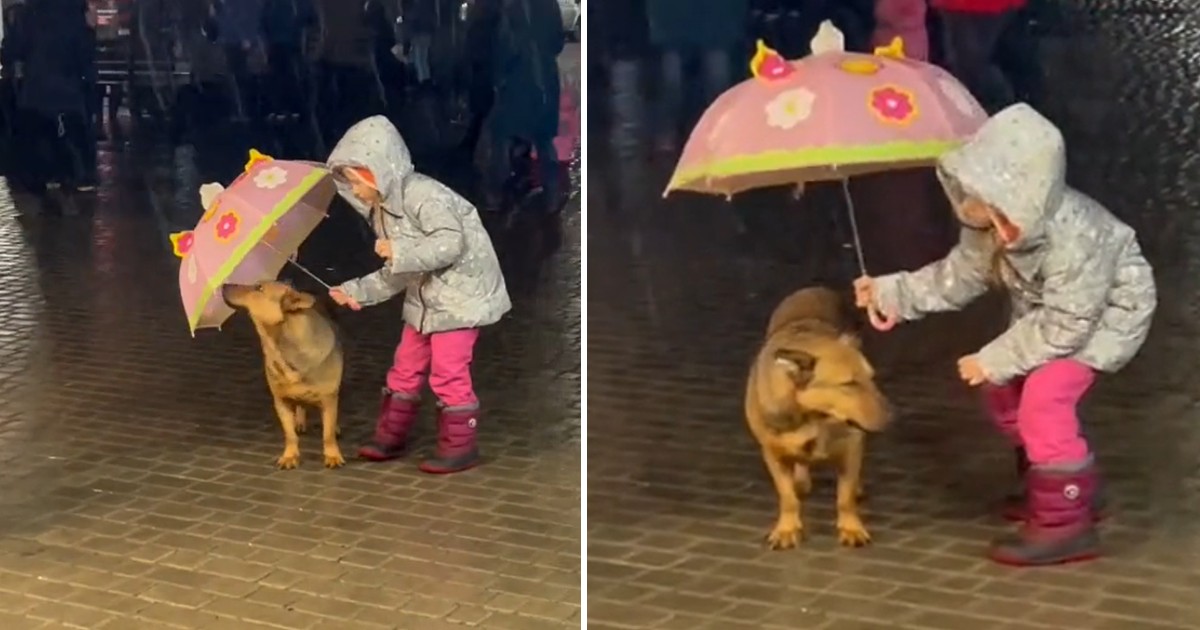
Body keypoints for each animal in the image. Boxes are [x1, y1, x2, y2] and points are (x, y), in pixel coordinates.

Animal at [223, 279, 345, 465]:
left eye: (259, 288)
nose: (223, 285)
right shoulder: (281, 401)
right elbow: (289, 434)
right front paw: (290, 456)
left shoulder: (329, 398)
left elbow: (328, 433)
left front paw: (332, 455)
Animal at [744, 286, 888, 547]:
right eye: (848, 384)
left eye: (872, 378)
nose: (893, 415)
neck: (813, 416)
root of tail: (816, 288)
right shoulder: (772, 452)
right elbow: (787, 496)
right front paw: (787, 528)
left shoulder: (852, 444)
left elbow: (845, 496)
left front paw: (851, 527)